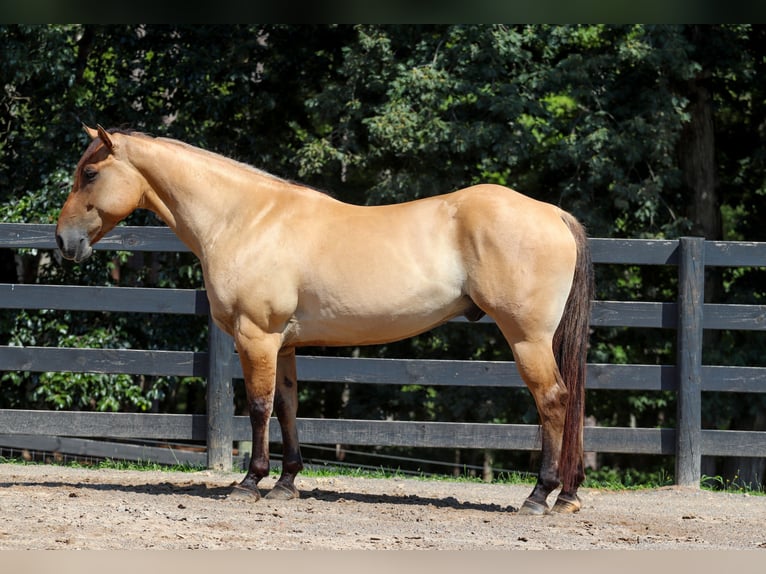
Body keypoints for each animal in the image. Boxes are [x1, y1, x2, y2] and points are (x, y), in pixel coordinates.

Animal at [57, 124, 596, 516]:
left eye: (91, 173)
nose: (63, 241)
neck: (245, 219)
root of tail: (553, 213)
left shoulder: (256, 336)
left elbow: (259, 407)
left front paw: (250, 482)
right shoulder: (285, 343)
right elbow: (288, 407)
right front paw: (287, 483)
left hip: (527, 338)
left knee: (554, 400)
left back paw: (539, 496)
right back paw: (567, 496)